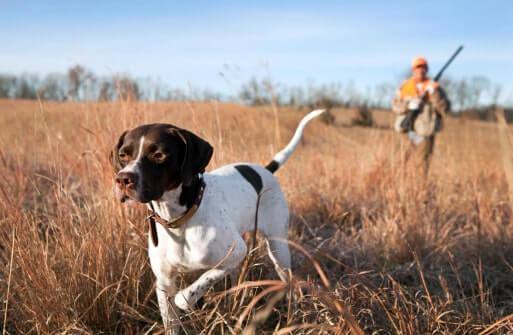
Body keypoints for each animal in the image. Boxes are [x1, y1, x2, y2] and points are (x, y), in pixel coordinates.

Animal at [110, 109, 324, 334]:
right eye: (123, 155)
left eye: (159, 155)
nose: (123, 179)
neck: (179, 220)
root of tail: (266, 170)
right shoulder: (164, 282)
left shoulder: (237, 251)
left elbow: (186, 295)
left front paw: (190, 299)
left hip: (278, 250)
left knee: (289, 285)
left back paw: (294, 317)